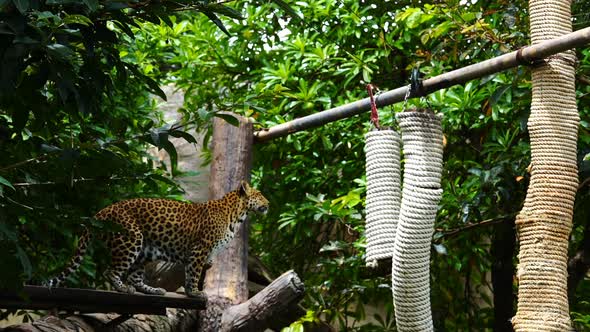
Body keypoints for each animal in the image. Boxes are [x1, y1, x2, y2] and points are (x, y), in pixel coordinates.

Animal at [48, 180, 270, 296]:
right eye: (259, 194)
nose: (268, 204)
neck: (237, 215)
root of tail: (101, 212)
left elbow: (192, 270)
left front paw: (189, 291)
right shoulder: (200, 249)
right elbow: (194, 272)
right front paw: (194, 292)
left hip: (145, 250)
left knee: (135, 275)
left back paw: (153, 290)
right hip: (131, 239)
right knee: (111, 271)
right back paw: (123, 288)